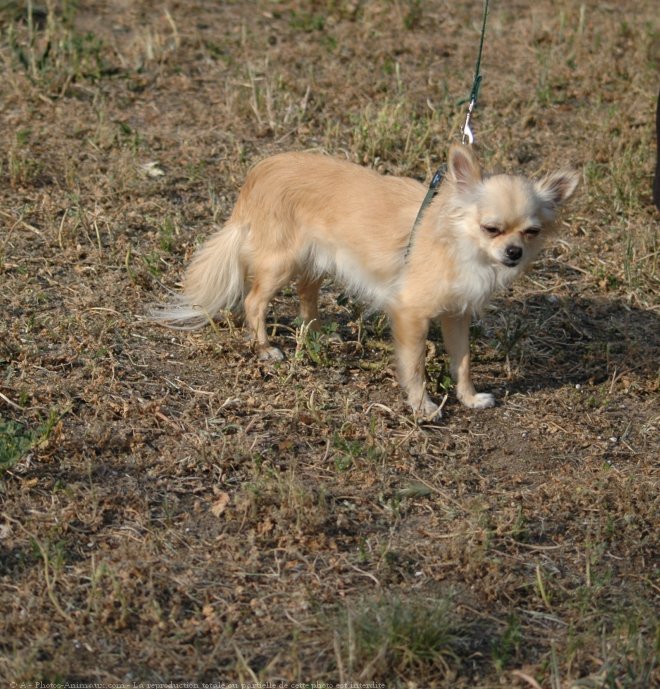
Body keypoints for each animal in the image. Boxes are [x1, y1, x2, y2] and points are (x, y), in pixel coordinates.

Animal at [152, 146, 576, 420]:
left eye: (532, 232)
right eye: (491, 229)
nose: (514, 252)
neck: (459, 243)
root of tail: (260, 172)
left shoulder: (455, 316)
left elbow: (463, 363)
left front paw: (469, 399)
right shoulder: (410, 313)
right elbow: (415, 365)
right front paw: (422, 407)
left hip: (315, 260)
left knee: (306, 295)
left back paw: (317, 335)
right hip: (281, 263)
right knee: (254, 302)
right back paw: (265, 349)